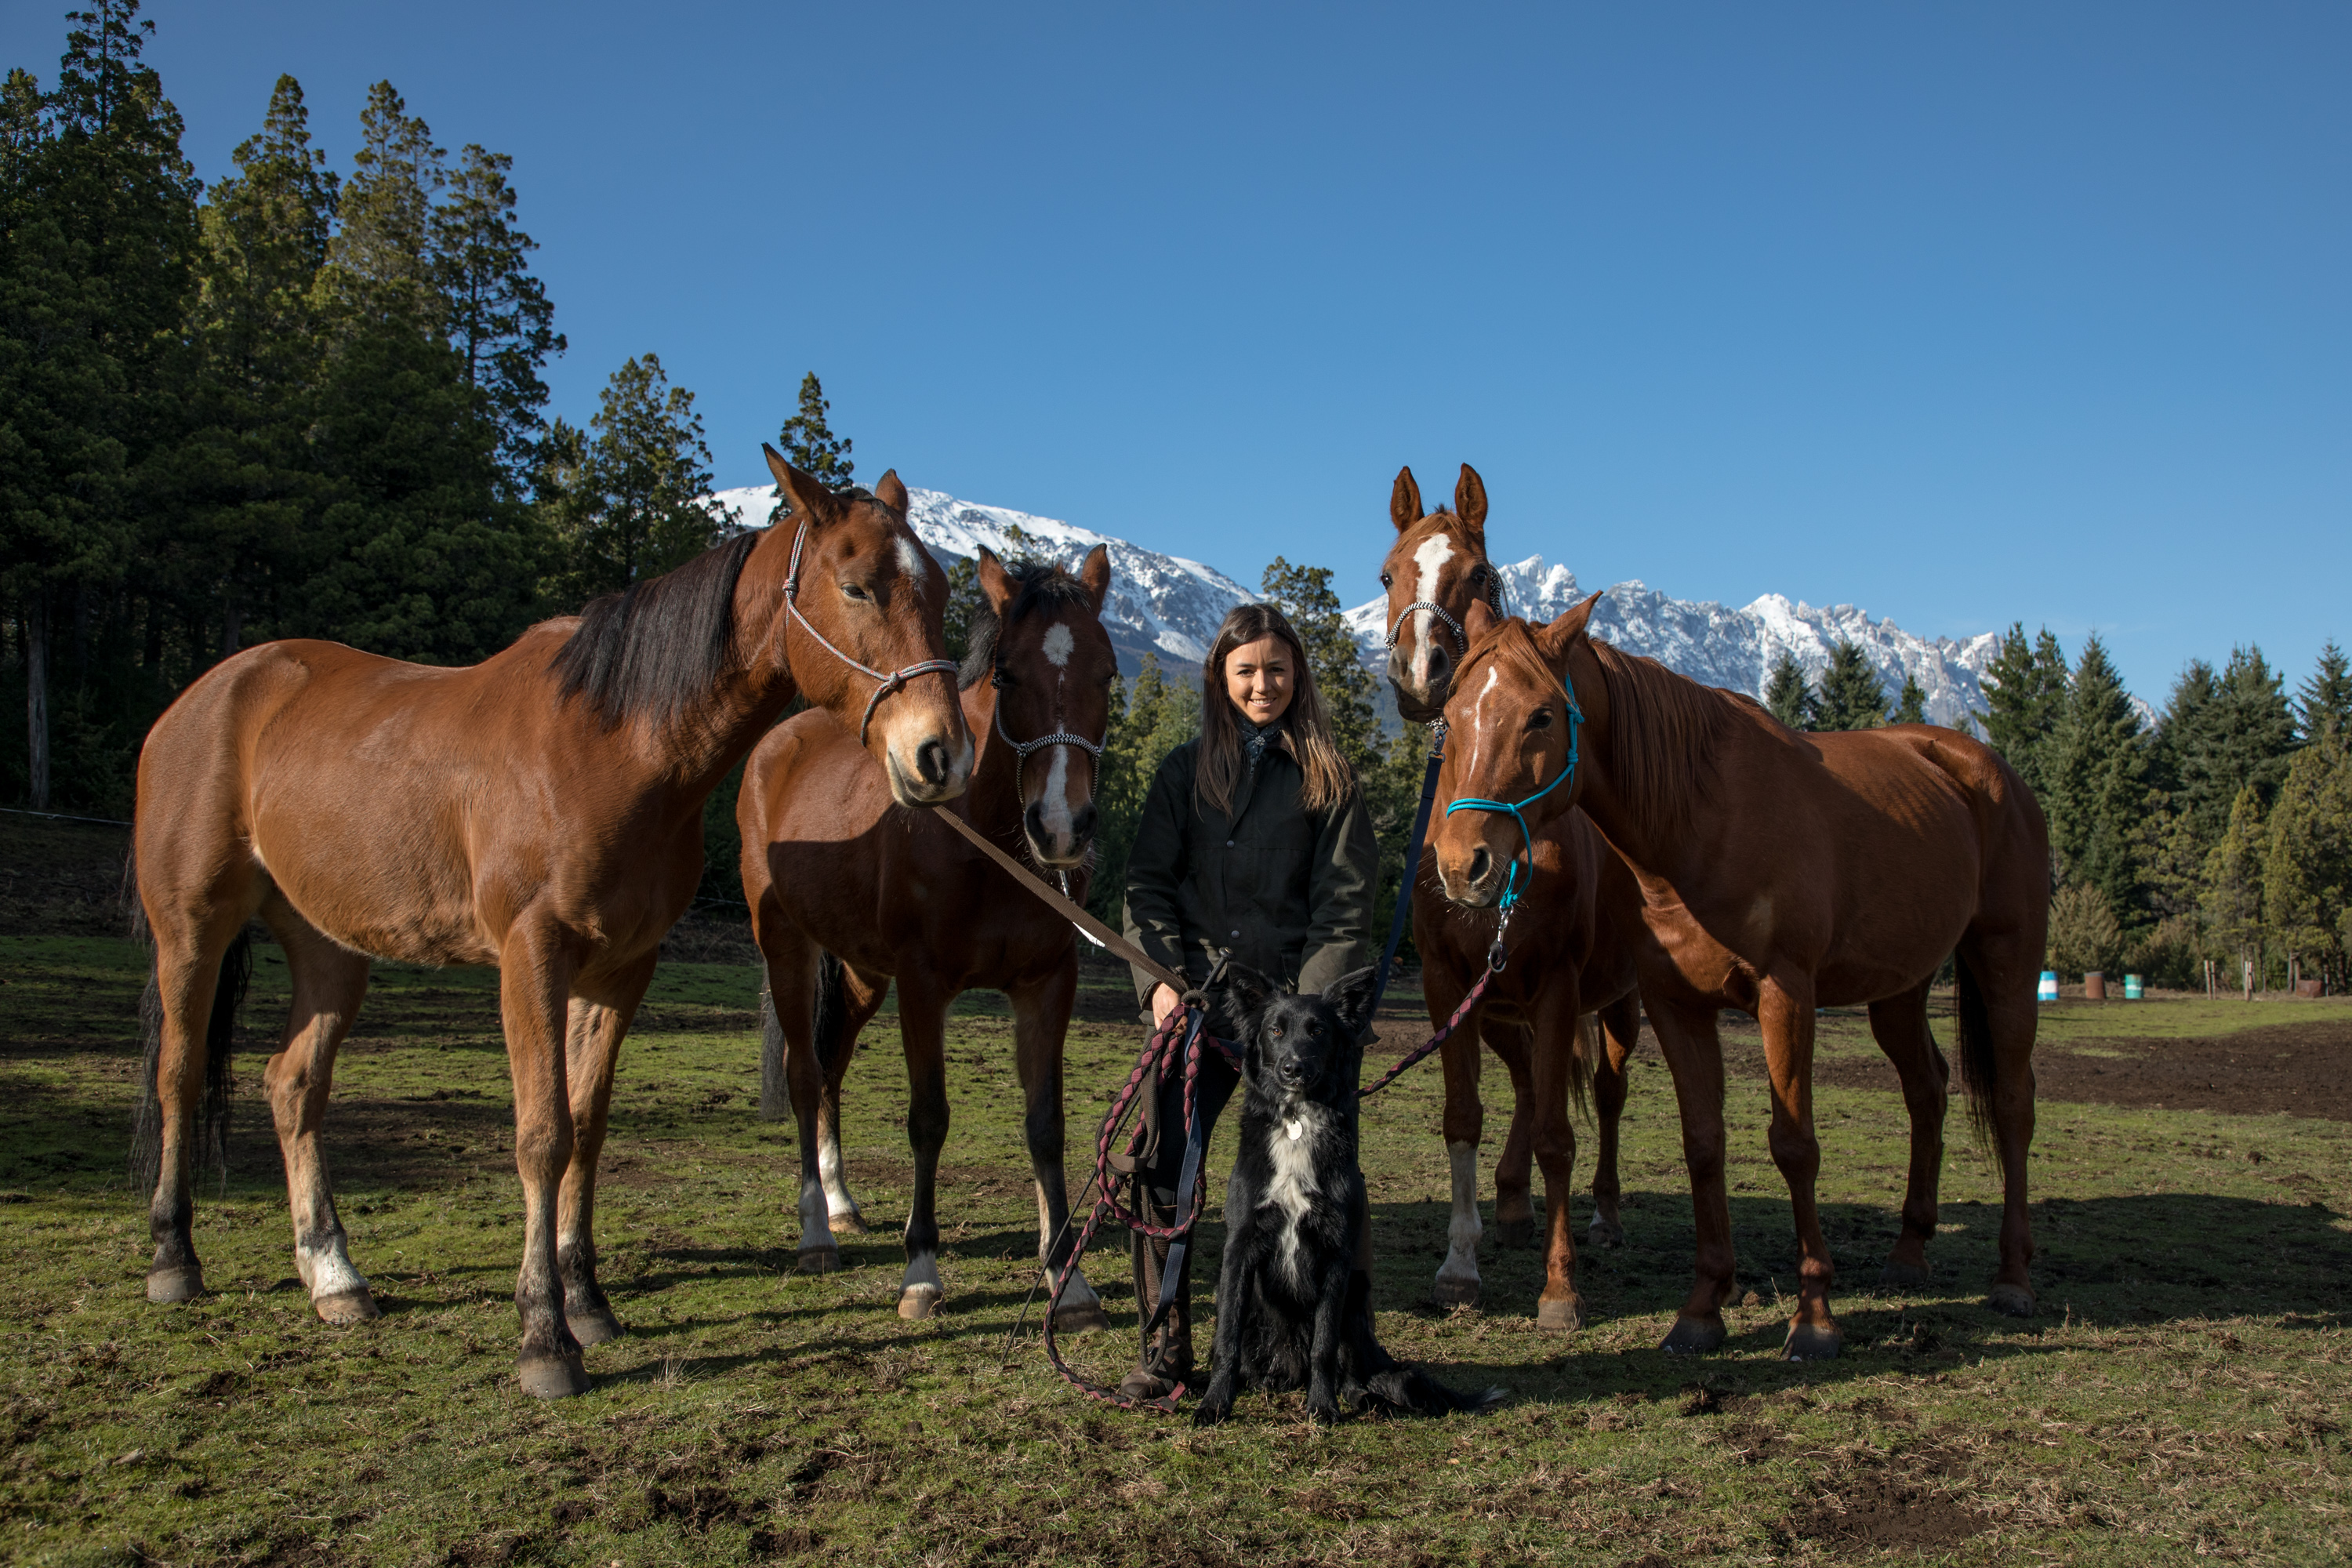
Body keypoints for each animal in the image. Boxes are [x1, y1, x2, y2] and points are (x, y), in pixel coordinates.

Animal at [128, 450, 972, 1398]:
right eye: (857, 586)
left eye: (940, 589)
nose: (941, 754)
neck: (613, 745)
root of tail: (205, 695)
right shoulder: (530, 955)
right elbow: (543, 1135)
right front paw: (544, 1334)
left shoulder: (620, 968)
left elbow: (587, 1128)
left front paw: (587, 1298)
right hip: (191, 931)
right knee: (176, 1075)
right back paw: (175, 1256)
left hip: (328, 949)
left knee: (292, 1085)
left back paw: (333, 1273)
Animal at [740, 546, 1117, 1329]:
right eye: (1006, 674)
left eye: (1108, 673)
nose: (1060, 827)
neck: (987, 839)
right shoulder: (921, 986)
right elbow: (929, 1119)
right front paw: (921, 1271)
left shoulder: (1047, 984)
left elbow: (1045, 1124)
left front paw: (1068, 1279)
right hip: (788, 947)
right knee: (803, 1073)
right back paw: (816, 1231)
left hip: (860, 973)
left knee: (830, 1069)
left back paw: (842, 1201)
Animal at [1377, 463, 1646, 1328]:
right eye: (1389, 575)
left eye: (1476, 573)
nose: (1419, 674)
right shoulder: (1447, 979)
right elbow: (1465, 1114)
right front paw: (1459, 1264)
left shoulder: (1559, 982)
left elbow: (1563, 1131)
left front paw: (1560, 1288)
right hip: (1500, 1004)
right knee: (1529, 1077)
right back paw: (1512, 1201)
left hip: (1620, 1002)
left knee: (1605, 1093)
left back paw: (1603, 1215)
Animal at [1430, 595, 2048, 1358]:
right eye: (1451, 717)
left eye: (1542, 716)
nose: (1464, 865)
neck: (1701, 821)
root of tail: (1983, 766)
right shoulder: (1676, 1004)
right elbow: (1702, 1145)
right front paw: (1702, 1308)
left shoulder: (1786, 995)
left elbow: (1794, 1146)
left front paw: (1814, 1317)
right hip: (1898, 989)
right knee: (1927, 1090)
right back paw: (1909, 1251)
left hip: (2007, 962)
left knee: (2015, 1103)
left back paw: (2013, 1277)